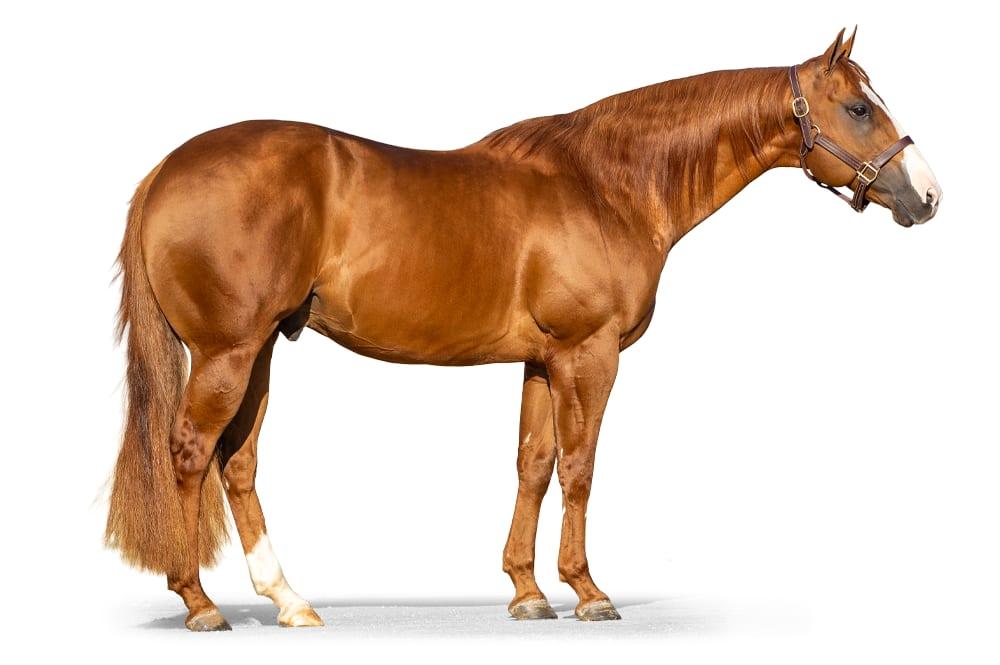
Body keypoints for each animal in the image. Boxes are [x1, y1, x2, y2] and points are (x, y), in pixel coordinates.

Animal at [105, 28, 941, 631]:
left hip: (260, 352)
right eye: (860, 108)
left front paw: (527, 591)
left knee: (238, 463)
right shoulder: (589, 355)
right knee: (190, 453)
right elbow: (580, 468)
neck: (609, 184)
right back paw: (201, 604)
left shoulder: (542, 360)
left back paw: (289, 600)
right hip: (228, 352)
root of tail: (166, 171)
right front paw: (589, 591)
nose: (927, 194)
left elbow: (533, 465)